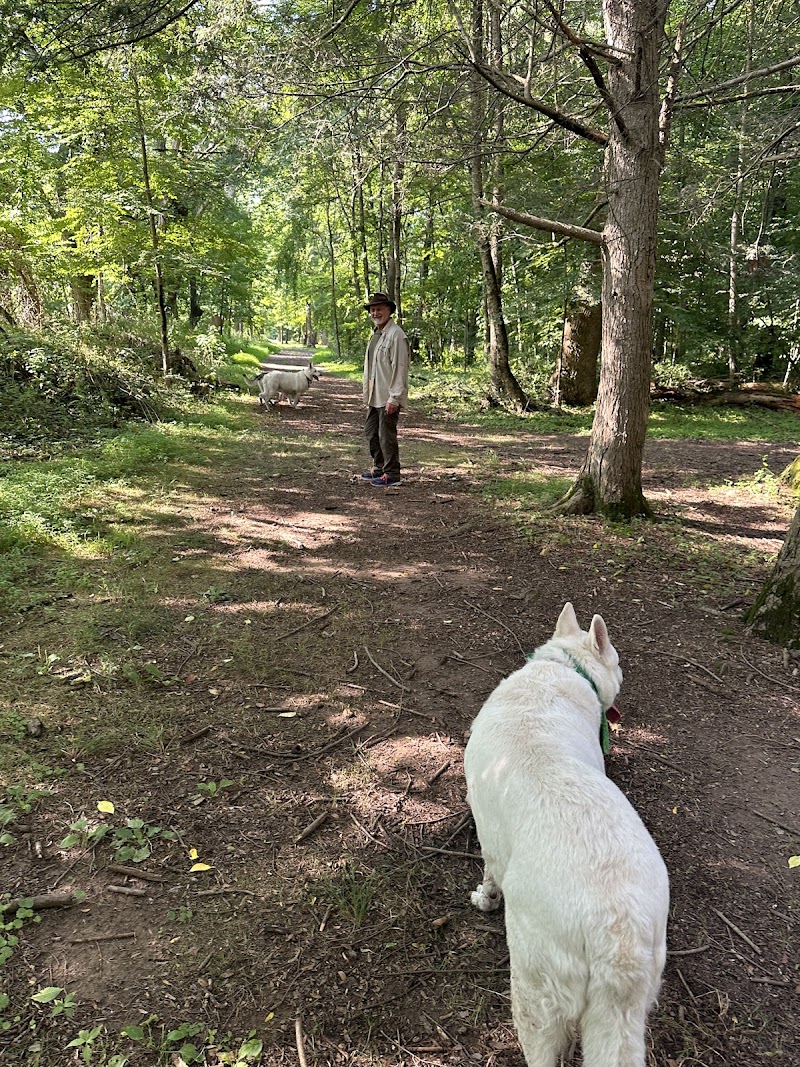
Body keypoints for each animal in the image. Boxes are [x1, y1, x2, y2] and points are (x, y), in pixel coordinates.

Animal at [462, 601, 669, 1067]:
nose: (623, 674)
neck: (564, 667)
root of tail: (616, 935)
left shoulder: (489, 836)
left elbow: (489, 872)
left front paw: (485, 899)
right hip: (630, 1003)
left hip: (535, 988)